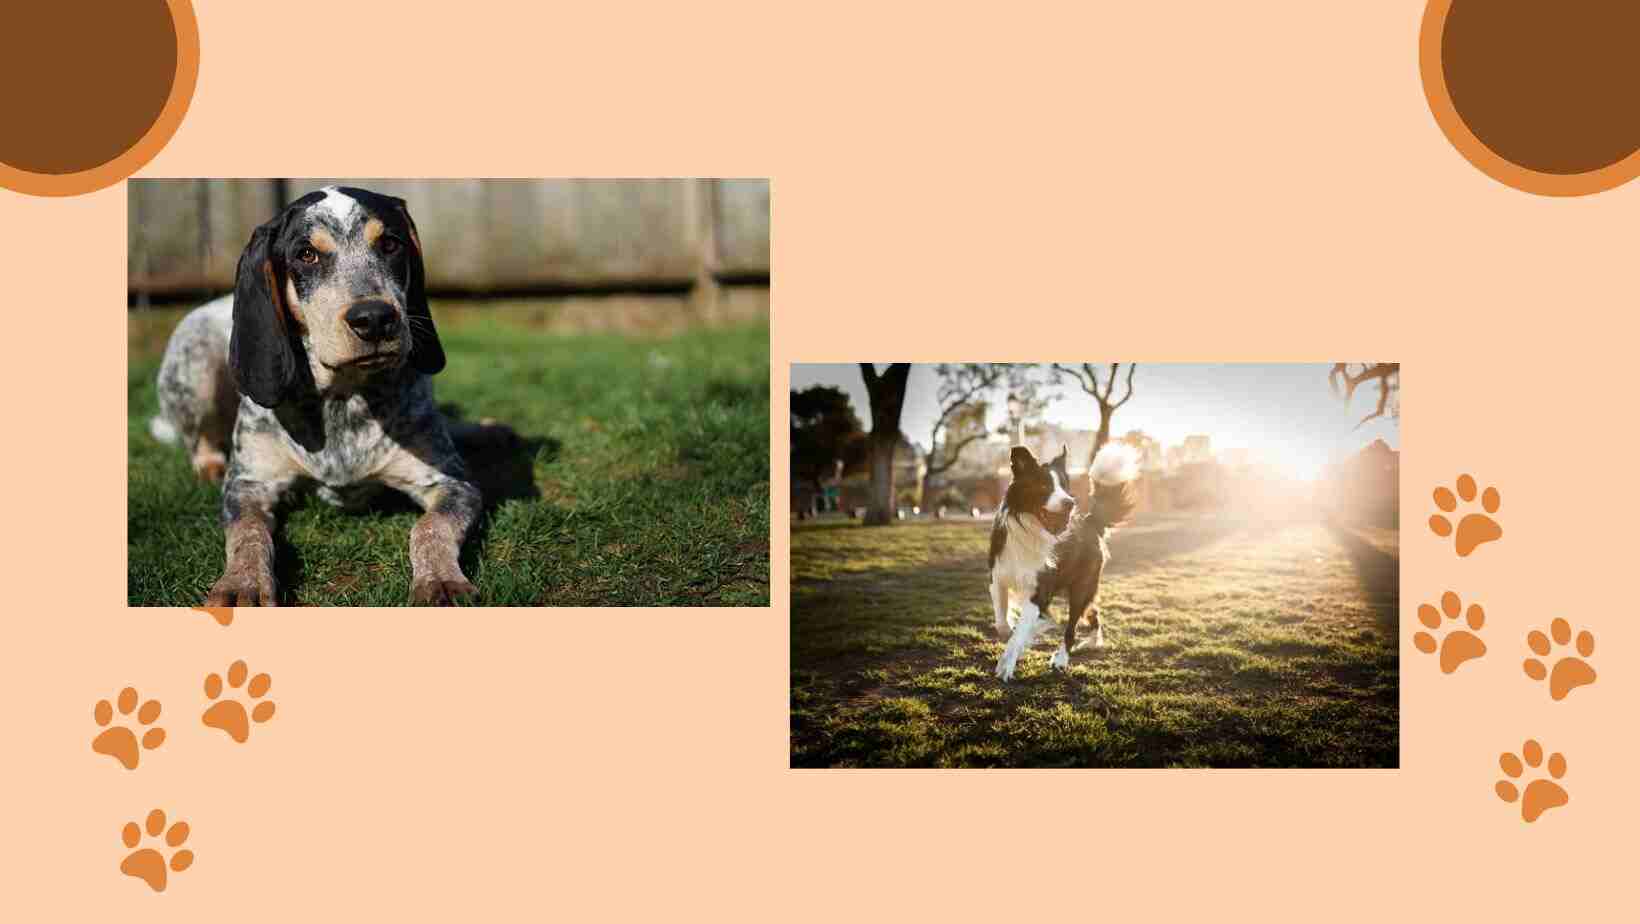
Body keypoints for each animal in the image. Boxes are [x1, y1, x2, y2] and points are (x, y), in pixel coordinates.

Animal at [984, 443, 1141, 682]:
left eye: (1065, 486)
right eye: (1043, 485)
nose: (1070, 502)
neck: (1031, 531)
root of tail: (1090, 522)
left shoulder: (1039, 593)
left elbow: (1020, 631)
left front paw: (1007, 664)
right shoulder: (998, 579)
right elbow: (1002, 623)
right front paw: (1016, 637)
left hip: (1081, 587)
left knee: (1071, 628)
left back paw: (1061, 659)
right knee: (1093, 612)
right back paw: (1092, 641)